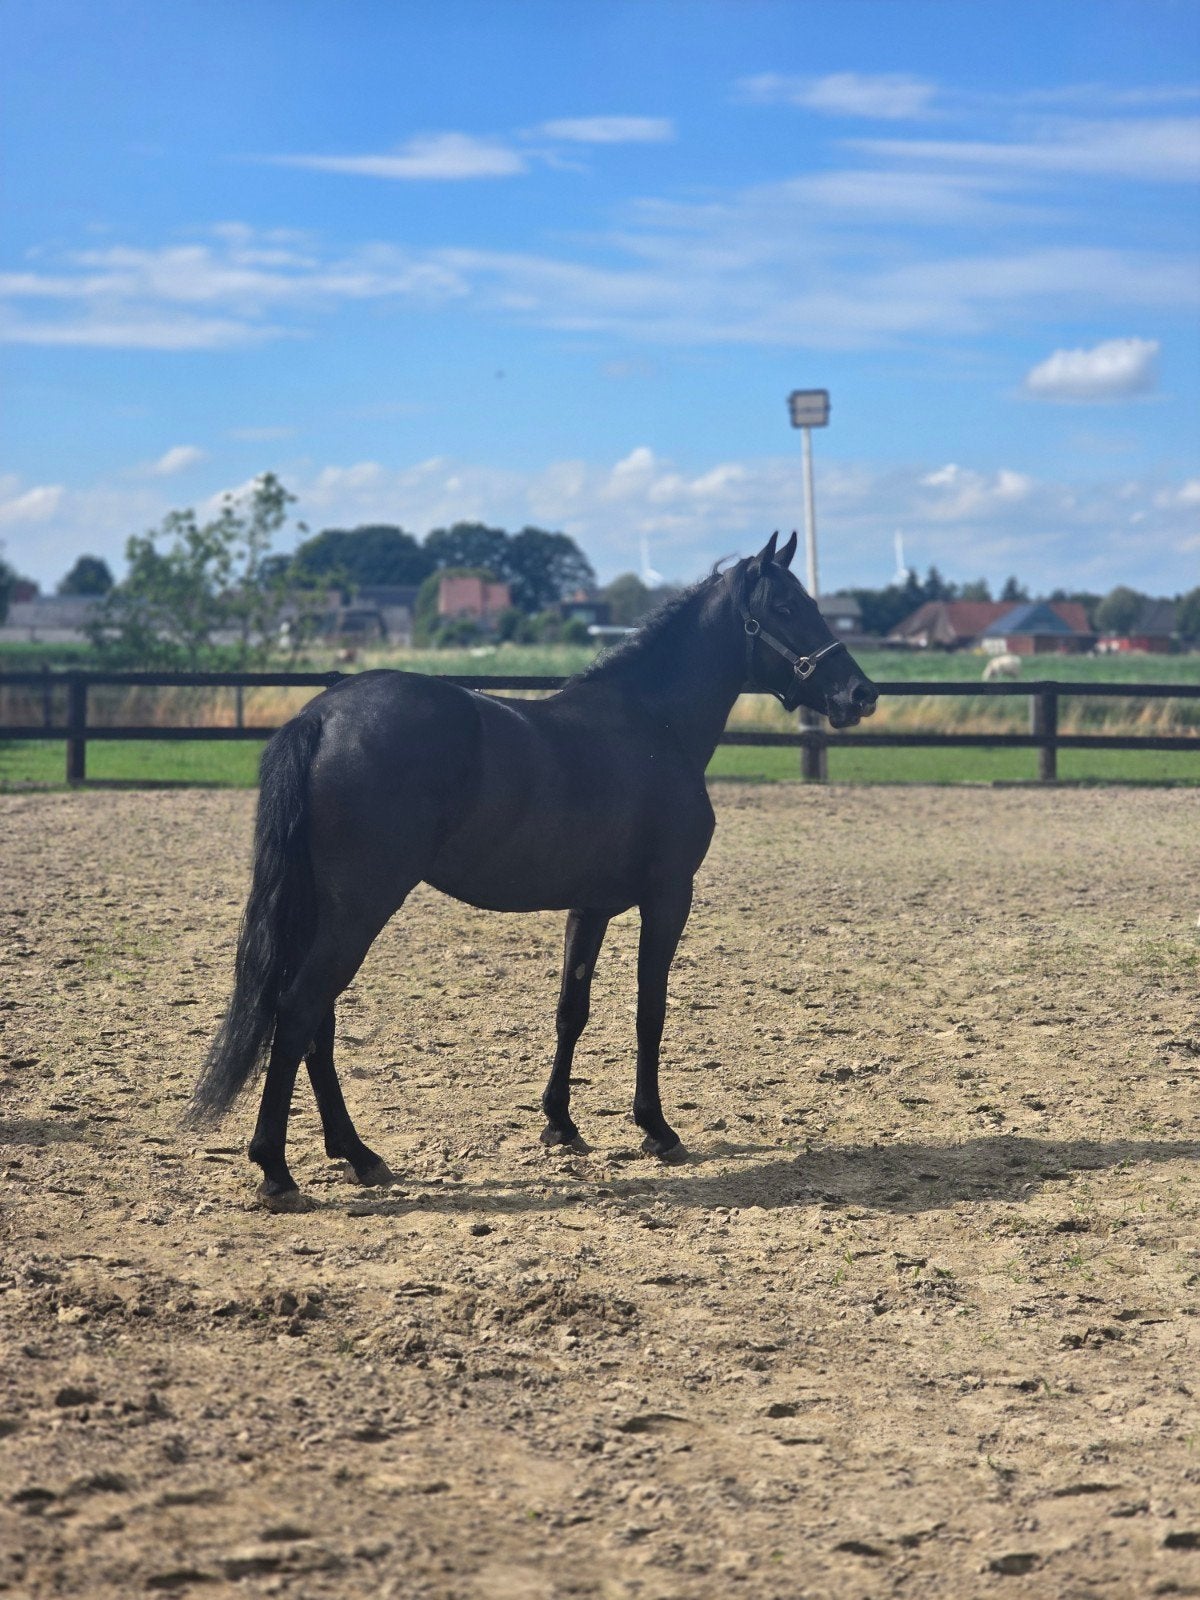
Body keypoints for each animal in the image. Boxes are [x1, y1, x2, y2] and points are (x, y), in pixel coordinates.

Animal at [189, 532, 879, 1210]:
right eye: (786, 606)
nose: (861, 694)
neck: (652, 724)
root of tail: (323, 715)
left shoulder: (590, 906)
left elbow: (572, 1008)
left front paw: (560, 1124)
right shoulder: (667, 897)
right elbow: (649, 1010)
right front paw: (657, 1129)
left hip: (326, 911)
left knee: (317, 1023)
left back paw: (357, 1155)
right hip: (359, 908)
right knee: (299, 1011)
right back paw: (278, 1171)